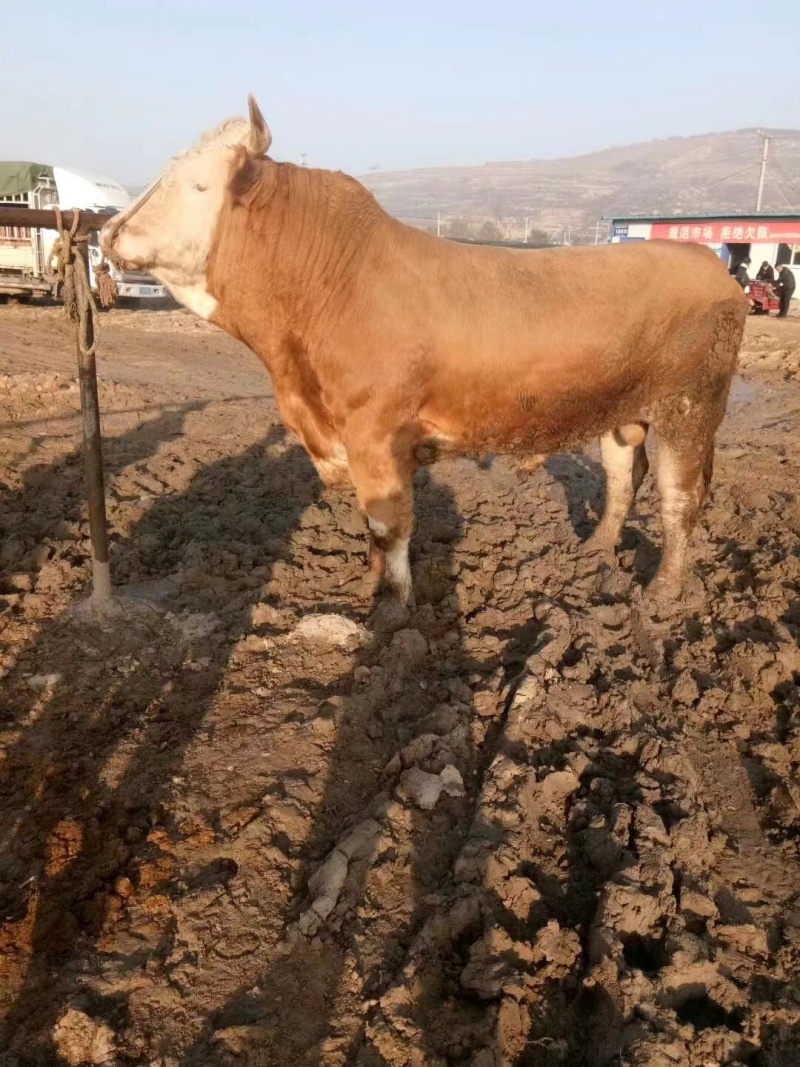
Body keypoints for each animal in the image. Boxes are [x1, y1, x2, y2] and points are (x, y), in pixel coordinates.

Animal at [101, 96, 750, 606]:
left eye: (199, 184)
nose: (110, 231)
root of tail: (709, 265)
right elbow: (370, 528)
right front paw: (371, 586)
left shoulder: (376, 434)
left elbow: (389, 525)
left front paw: (394, 608)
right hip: (622, 412)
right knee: (621, 479)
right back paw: (594, 551)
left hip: (689, 412)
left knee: (679, 499)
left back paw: (663, 592)